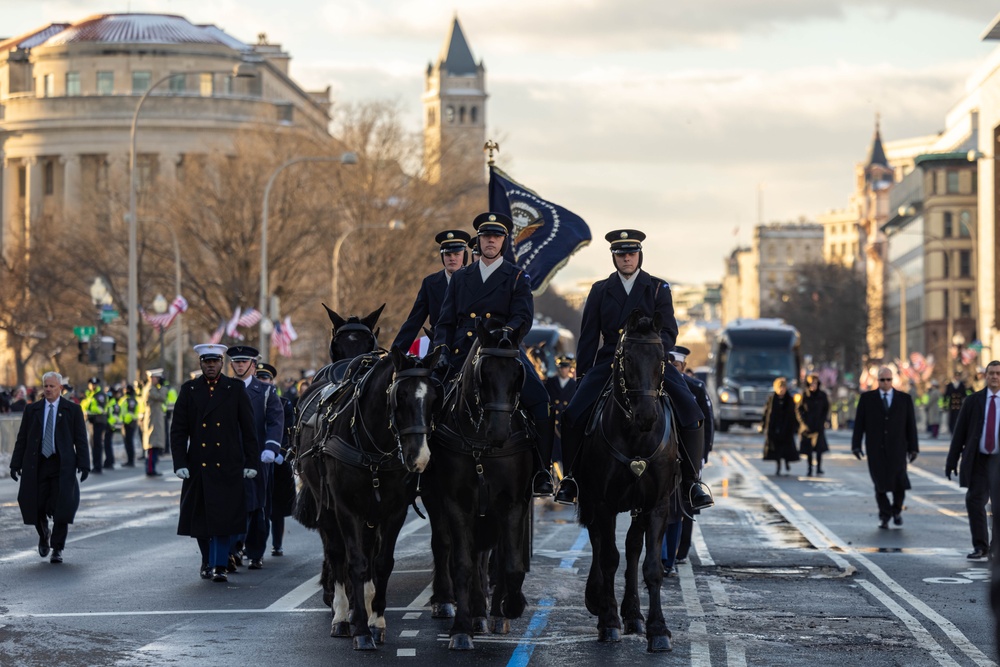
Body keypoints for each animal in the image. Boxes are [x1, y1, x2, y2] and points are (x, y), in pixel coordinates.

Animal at [294, 348, 440, 648]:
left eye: (433, 397)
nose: (420, 458)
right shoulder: (346, 509)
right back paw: (341, 615)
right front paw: (360, 629)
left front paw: (376, 621)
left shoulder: (394, 510)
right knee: (337, 554)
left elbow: (382, 563)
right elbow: (357, 563)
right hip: (326, 507)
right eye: (400, 396)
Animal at [422, 320, 536, 648]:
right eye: (483, 372)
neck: (480, 445)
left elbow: (509, 563)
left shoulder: (513, 504)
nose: (498, 431)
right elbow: (462, 562)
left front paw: (509, 606)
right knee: (455, 550)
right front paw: (461, 628)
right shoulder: (456, 503)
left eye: (518, 373)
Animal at [576, 312, 684, 652]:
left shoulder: (657, 504)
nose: (646, 416)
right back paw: (600, 600)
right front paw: (609, 621)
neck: (636, 436)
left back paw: (634, 614)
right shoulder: (603, 503)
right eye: (626, 358)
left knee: (633, 547)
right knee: (600, 544)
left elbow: (651, 566)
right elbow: (609, 557)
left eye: (661, 358)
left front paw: (658, 629)